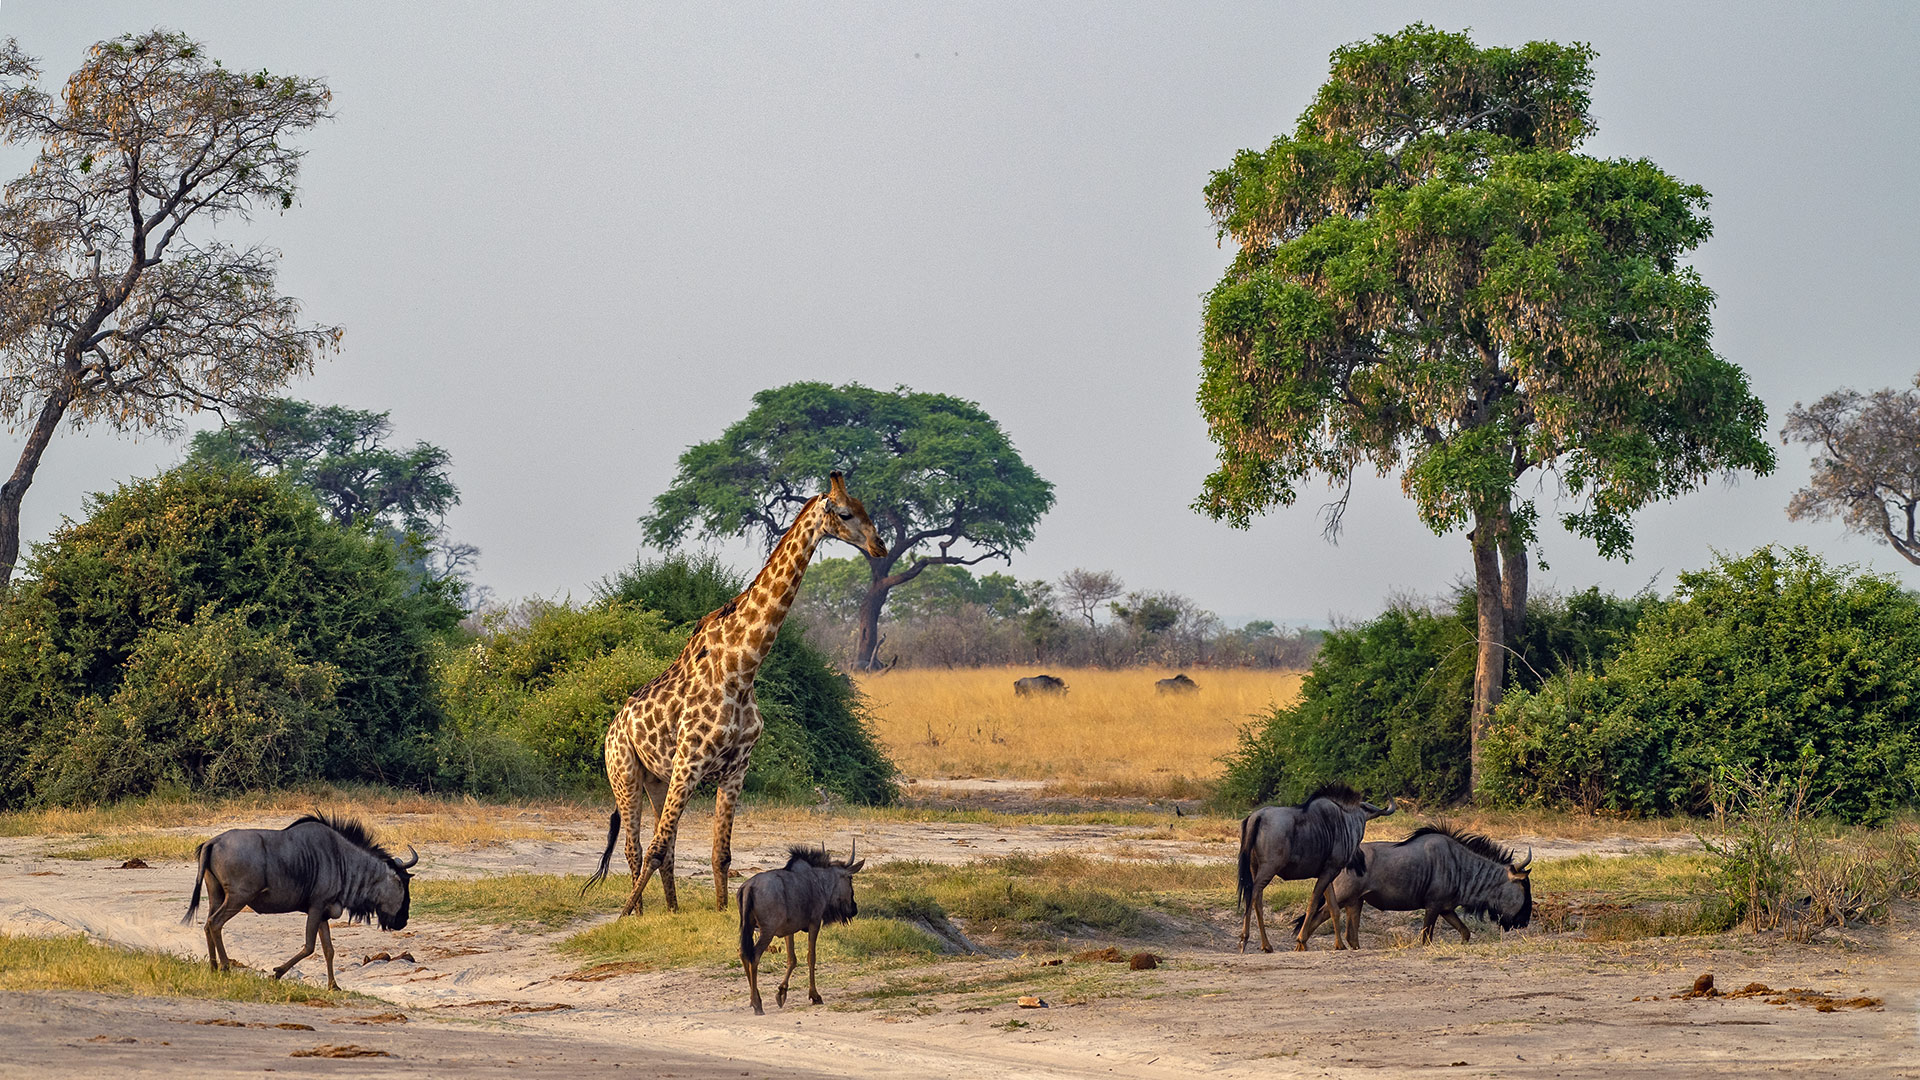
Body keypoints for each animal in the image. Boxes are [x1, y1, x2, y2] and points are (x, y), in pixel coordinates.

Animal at [583, 466, 883, 910]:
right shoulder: (690, 762)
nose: (880, 546)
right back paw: (637, 913)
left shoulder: (736, 769)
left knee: (664, 845)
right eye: (845, 513)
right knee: (637, 846)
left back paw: (672, 911)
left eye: (866, 508)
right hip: (625, 774)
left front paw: (725, 910)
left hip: (657, 780)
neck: (741, 670)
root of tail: (612, 728)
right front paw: (622, 916)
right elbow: (656, 848)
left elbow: (719, 853)